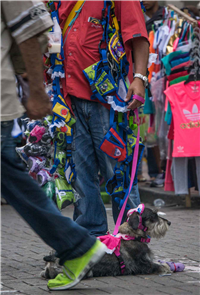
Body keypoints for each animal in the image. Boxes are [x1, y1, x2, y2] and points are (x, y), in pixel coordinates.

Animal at [41, 206, 172, 280]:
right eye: (153, 216)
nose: (169, 222)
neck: (132, 235)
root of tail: (54, 258)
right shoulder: (143, 265)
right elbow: (158, 265)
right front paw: (168, 267)